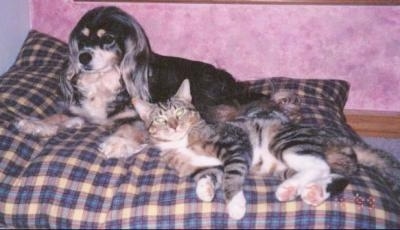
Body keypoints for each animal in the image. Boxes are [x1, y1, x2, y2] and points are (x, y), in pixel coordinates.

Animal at [133, 79, 398, 219]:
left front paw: (236, 205)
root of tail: (337, 135)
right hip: (291, 164)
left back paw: (291, 189)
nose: (174, 125)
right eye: (160, 119)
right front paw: (205, 189)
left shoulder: (235, 144)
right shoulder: (201, 165)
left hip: (284, 142)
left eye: (179, 112)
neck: (182, 142)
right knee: (338, 173)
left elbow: (231, 176)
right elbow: (208, 175)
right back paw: (309, 191)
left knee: (321, 166)